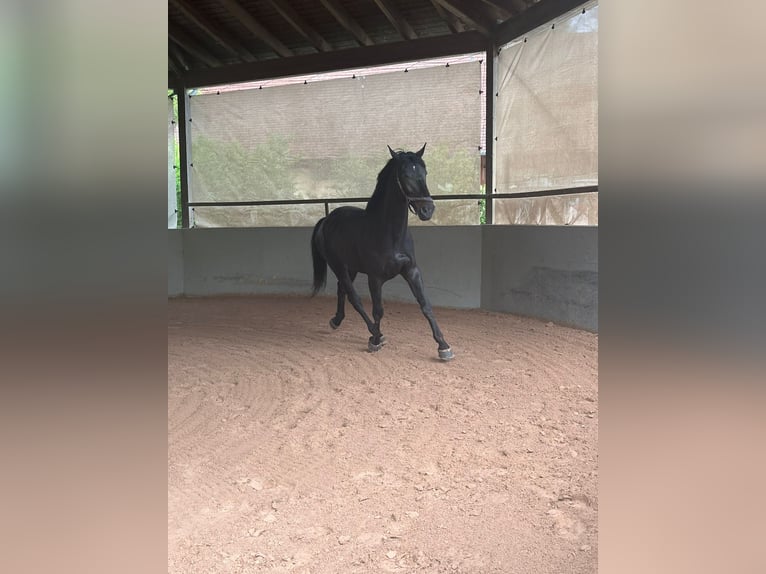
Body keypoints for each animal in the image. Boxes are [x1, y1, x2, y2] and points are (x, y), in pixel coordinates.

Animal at [312, 143, 456, 360]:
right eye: (405, 174)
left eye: (424, 172)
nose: (427, 210)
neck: (390, 234)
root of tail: (327, 220)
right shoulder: (375, 278)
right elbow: (378, 310)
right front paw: (375, 341)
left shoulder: (412, 271)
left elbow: (425, 305)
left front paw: (443, 346)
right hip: (338, 266)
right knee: (354, 298)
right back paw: (374, 333)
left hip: (351, 267)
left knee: (341, 290)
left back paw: (337, 320)